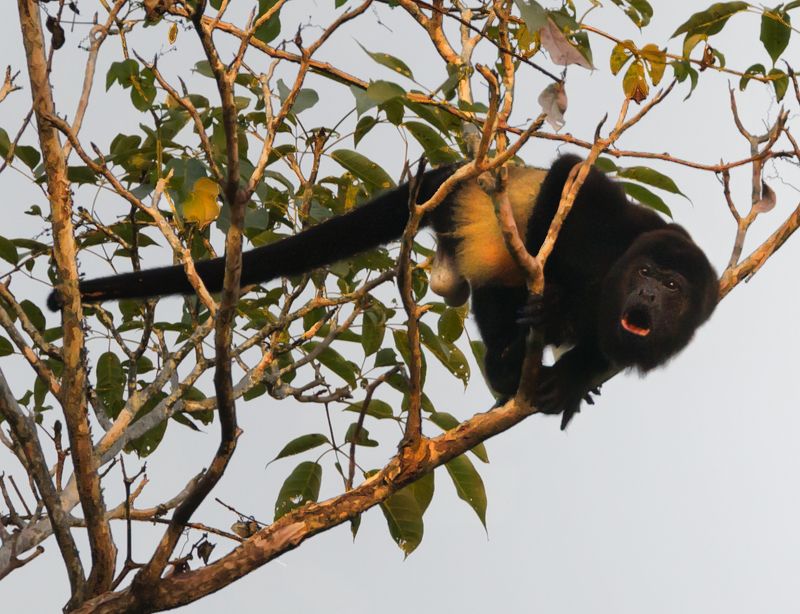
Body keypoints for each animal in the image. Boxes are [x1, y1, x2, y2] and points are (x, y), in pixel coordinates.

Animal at [47, 155, 718, 428]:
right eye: (646, 276)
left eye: (674, 287)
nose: (650, 298)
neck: (614, 275)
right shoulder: (610, 228)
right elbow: (570, 177)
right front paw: (548, 305)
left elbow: (602, 353)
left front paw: (574, 380)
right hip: (473, 222)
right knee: (496, 284)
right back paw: (509, 368)